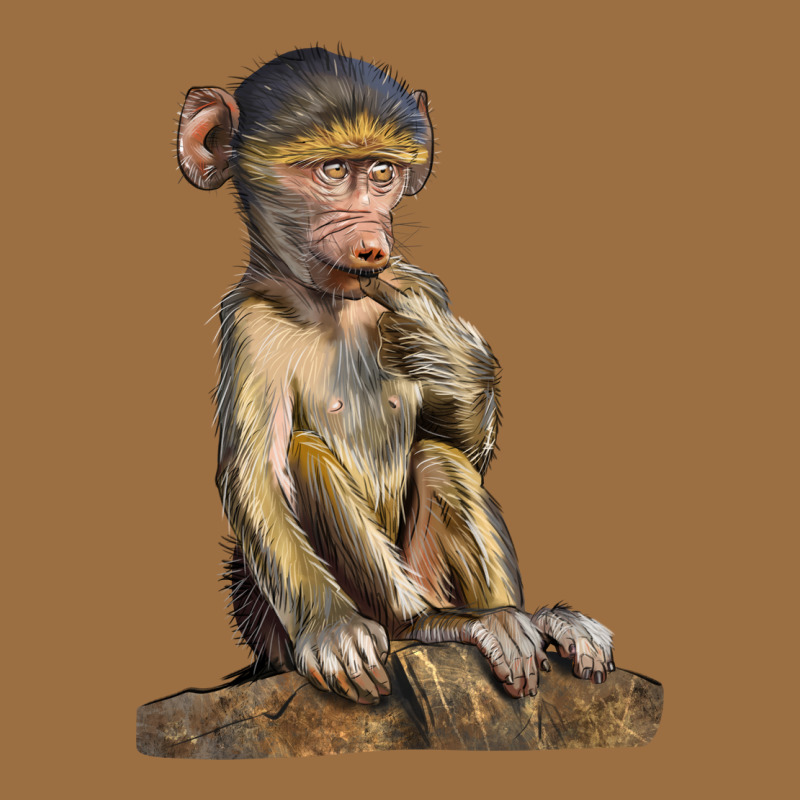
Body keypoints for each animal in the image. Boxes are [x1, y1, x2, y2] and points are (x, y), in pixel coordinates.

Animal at [176, 47, 614, 705]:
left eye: (382, 173)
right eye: (333, 170)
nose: (371, 243)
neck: (329, 303)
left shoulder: (421, 284)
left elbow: (462, 447)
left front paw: (448, 354)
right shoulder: (249, 327)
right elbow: (255, 476)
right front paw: (330, 629)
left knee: (440, 460)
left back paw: (526, 620)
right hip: (302, 616)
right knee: (307, 456)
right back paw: (430, 626)